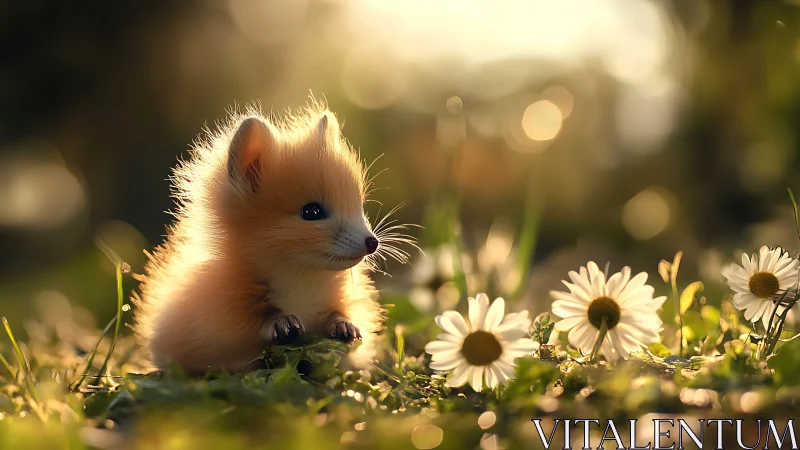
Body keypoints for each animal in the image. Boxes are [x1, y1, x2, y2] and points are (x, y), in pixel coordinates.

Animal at [133, 102, 410, 373]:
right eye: (311, 212)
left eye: (360, 206)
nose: (372, 242)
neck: (301, 280)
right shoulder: (218, 320)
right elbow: (247, 327)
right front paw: (282, 322)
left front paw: (343, 325)